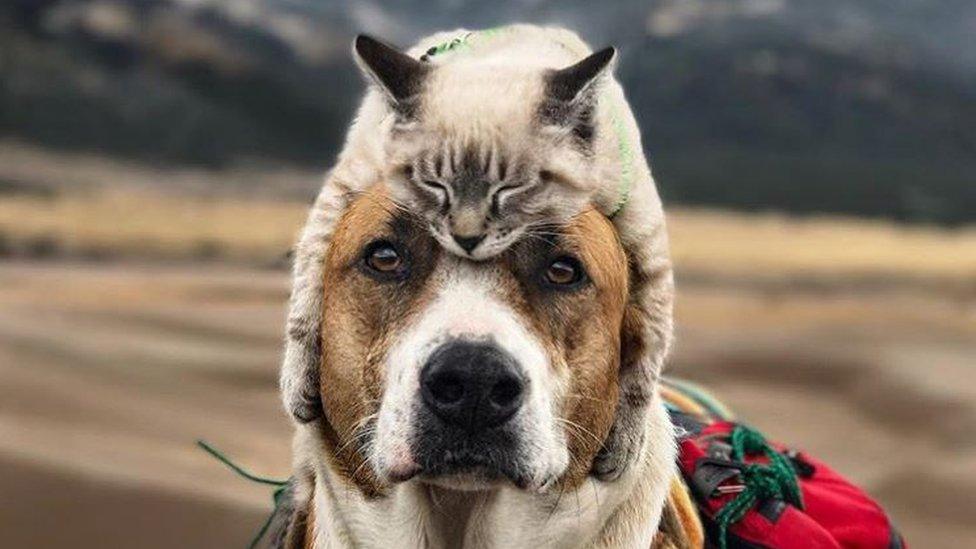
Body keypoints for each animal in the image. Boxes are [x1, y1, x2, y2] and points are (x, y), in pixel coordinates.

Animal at [278, 24, 676, 480]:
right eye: (433, 184)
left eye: (512, 188)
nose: (466, 239)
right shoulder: (344, 188)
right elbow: (307, 281)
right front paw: (298, 382)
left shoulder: (644, 237)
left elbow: (649, 346)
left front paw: (625, 443)